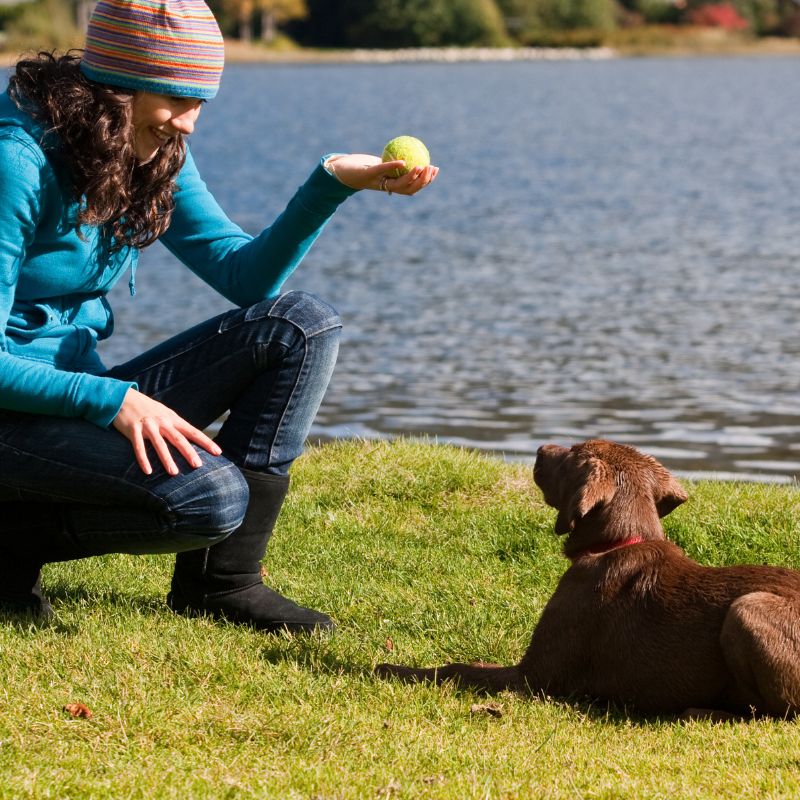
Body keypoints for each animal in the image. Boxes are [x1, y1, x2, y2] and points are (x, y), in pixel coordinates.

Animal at [378, 440, 800, 720]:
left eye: (572, 454)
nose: (539, 448)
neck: (617, 542)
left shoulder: (536, 676)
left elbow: (457, 668)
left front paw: (392, 669)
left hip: (747, 609)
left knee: (773, 714)